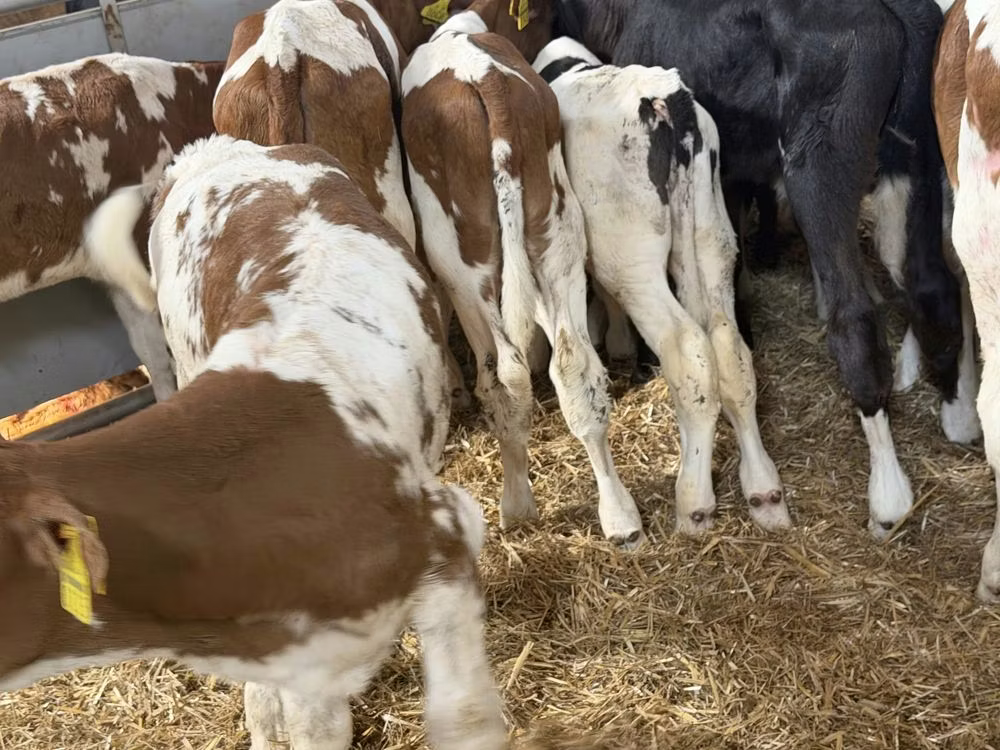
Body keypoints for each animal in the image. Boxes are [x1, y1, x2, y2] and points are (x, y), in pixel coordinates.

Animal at [401, 0, 644, 546]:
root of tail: (489, 88)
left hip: (464, 261)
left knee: (503, 377)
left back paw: (516, 505)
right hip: (558, 233)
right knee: (575, 368)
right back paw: (620, 517)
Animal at [532, 37, 790, 532]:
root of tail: (668, 98)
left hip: (633, 260)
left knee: (686, 345)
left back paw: (693, 500)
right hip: (710, 236)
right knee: (728, 349)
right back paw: (763, 487)